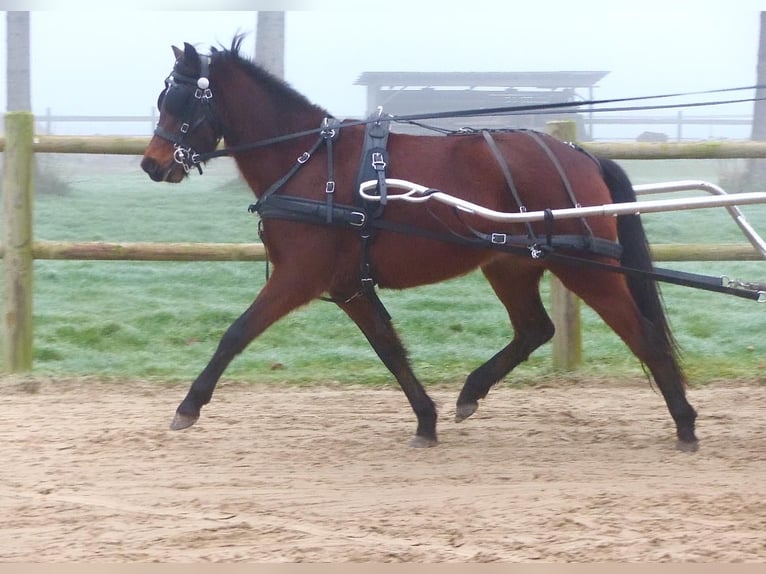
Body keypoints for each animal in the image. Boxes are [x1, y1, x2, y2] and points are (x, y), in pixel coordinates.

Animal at [141, 39, 700, 454]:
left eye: (181, 101)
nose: (151, 164)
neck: (308, 160)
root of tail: (579, 153)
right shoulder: (349, 286)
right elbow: (390, 348)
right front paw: (426, 420)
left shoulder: (299, 276)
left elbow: (235, 333)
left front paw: (188, 406)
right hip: (511, 266)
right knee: (535, 329)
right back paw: (471, 393)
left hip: (586, 266)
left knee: (644, 334)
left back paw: (685, 423)